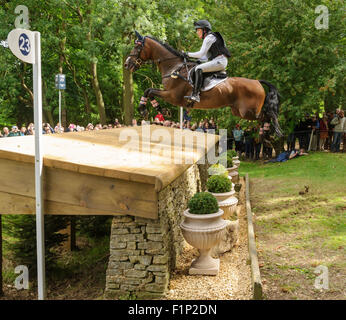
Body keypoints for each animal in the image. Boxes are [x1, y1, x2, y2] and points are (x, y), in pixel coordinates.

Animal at [123, 31, 282, 138]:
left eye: (137, 48)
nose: (126, 64)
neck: (173, 66)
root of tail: (257, 81)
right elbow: (149, 90)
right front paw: (160, 109)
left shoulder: (173, 96)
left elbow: (149, 90)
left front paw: (145, 109)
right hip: (238, 111)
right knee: (265, 116)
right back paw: (266, 132)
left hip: (248, 111)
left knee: (268, 115)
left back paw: (271, 131)